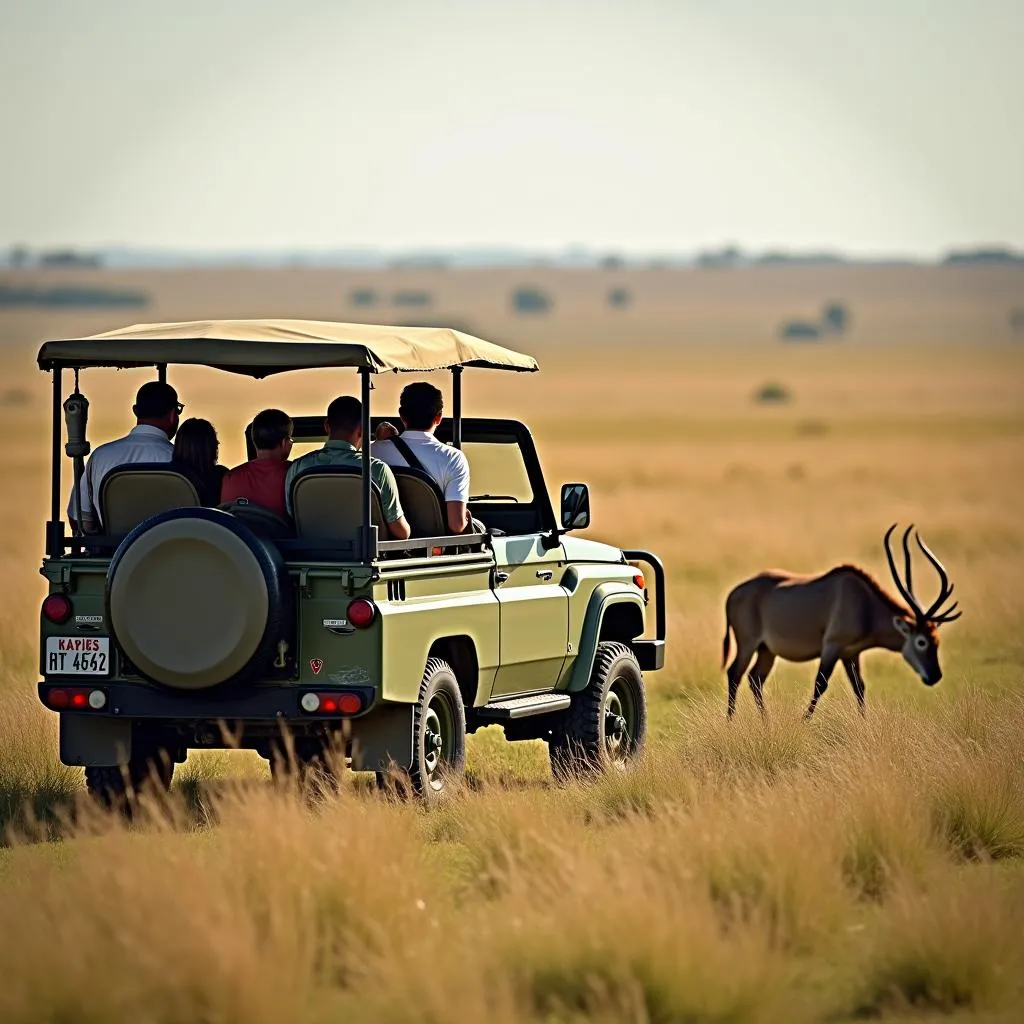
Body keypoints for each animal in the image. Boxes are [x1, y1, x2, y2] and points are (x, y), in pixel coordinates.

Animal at [720, 528, 958, 720]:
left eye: (936, 640)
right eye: (921, 641)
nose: (935, 676)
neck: (865, 604)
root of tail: (733, 594)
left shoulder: (851, 653)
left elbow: (859, 687)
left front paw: (864, 724)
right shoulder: (832, 646)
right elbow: (820, 683)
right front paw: (803, 722)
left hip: (766, 650)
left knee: (755, 679)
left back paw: (766, 723)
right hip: (748, 643)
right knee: (735, 673)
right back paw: (730, 722)